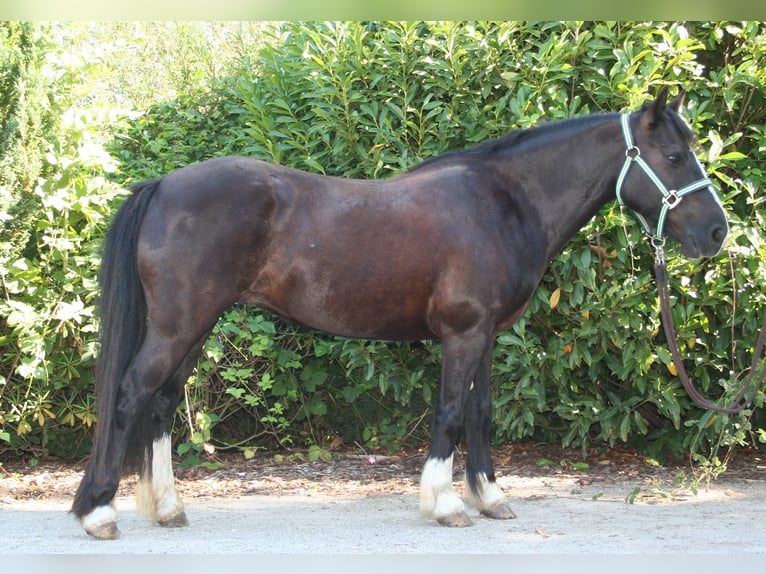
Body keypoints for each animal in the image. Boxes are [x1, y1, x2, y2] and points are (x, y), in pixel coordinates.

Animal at [70, 86, 728, 540]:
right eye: (674, 155)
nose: (718, 233)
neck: (505, 202)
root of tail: (162, 185)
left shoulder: (486, 336)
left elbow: (481, 414)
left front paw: (491, 498)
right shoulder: (463, 334)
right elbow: (450, 413)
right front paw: (446, 504)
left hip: (194, 326)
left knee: (160, 403)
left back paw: (167, 508)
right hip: (178, 324)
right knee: (131, 393)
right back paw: (99, 512)